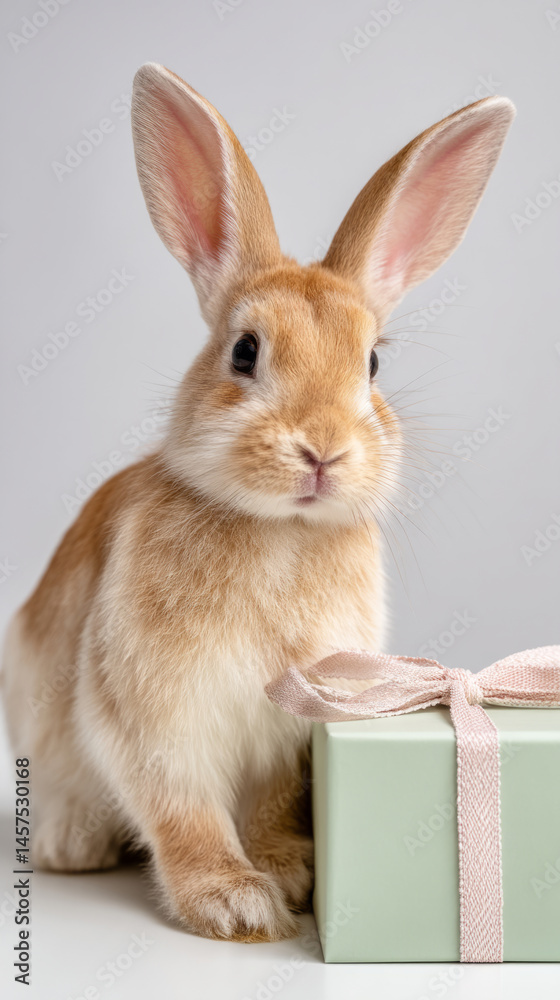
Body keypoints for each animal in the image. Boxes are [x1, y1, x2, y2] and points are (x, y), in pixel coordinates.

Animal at [1, 63, 514, 942]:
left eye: (372, 364)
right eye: (244, 351)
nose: (322, 449)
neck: (282, 531)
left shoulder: (289, 729)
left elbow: (271, 804)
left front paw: (289, 872)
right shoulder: (154, 719)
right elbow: (181, 809)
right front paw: (234, 903)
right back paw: (72, 843)